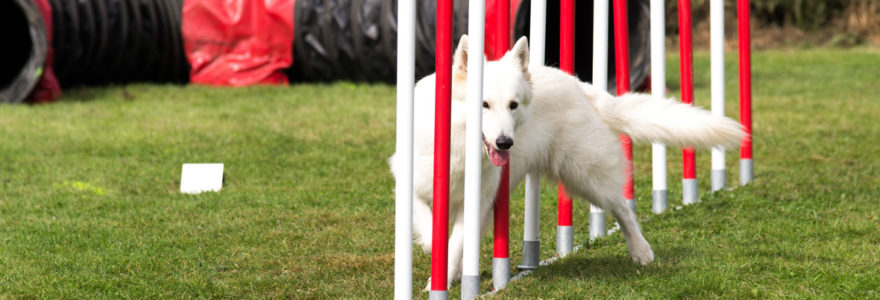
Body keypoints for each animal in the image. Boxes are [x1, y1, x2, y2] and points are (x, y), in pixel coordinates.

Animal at [392, 35, 744, 288]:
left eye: (513, 105)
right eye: (484, 104)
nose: (505, 142)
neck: (458, 143)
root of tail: (580, 86)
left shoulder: (477, 200)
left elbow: (453, 245)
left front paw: (439, 277)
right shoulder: (409, 181)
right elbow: (427, 220)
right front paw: (435, 253)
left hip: (585, 176)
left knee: (623, 208)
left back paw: (641, 251)